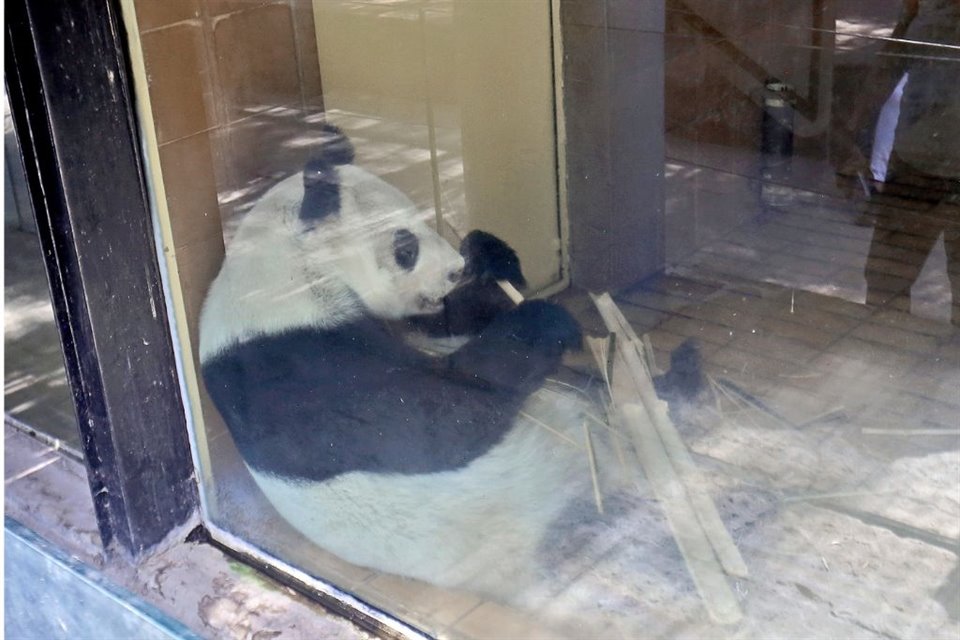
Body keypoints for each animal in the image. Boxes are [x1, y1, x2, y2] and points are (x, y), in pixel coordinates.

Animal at [199, 125, 624, 598]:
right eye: (406, 246)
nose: (455, 269)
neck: (288, 269)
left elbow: (445, 322)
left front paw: (490, 257)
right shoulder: (293, 363)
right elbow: (439, 415)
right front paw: (544, 321)